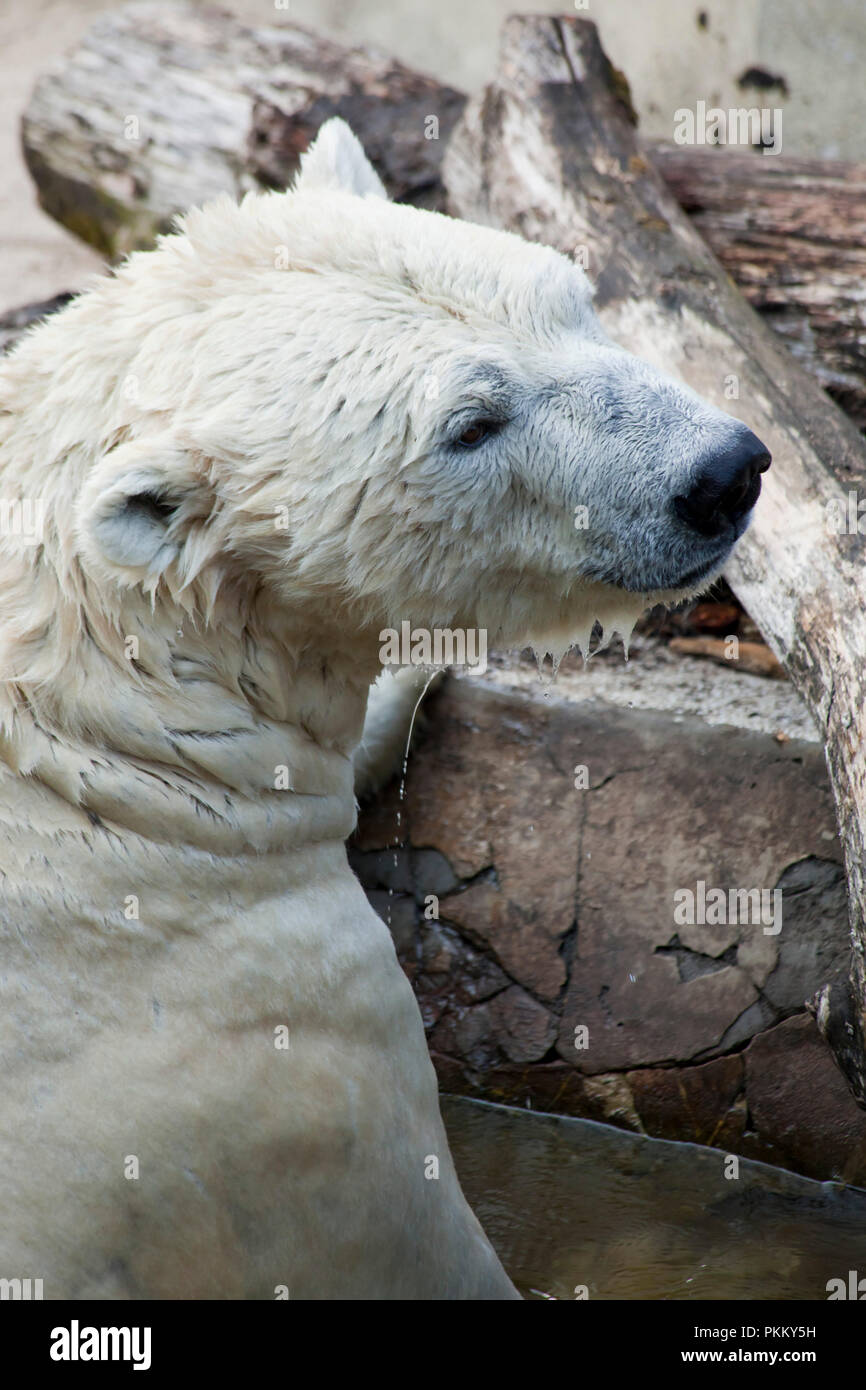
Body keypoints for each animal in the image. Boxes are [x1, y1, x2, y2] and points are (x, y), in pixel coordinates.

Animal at [0, 122, 772, 1301]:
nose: (721, 472)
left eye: (574, 296)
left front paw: (410, 679)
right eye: (472, 423)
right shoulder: (274, 1063)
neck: (84, 743)